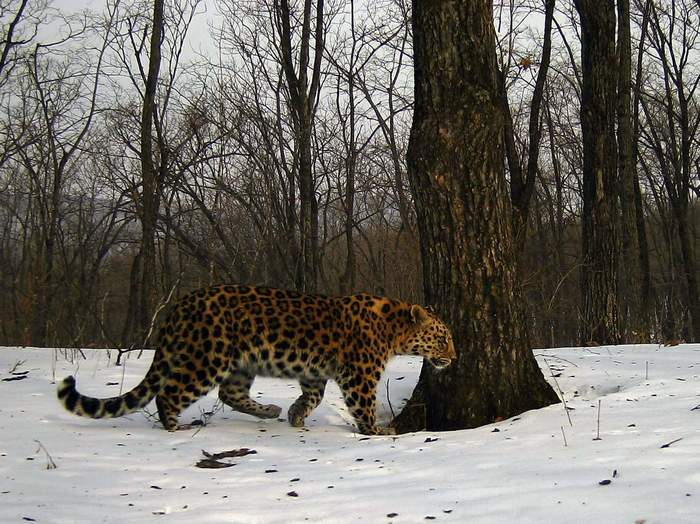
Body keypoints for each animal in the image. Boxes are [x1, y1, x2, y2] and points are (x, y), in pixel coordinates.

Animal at [57, 284, 456, 436]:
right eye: (442, 338)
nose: (453, 357)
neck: (394, 329)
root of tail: (179, 306)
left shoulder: (315, 372)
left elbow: (313, 396)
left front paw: (296, 415)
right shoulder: (360, 374)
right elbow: (364, 405)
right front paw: (378, 431)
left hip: (239, 362)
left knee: (229, 393)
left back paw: (270, 411)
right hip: (208, 357)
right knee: (170, 393)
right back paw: (175, 427)